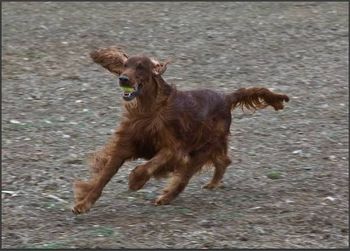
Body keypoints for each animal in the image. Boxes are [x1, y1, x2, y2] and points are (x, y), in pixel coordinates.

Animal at [70, 46, 288, 214]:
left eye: (140, 67)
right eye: (125, 65)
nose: (123, 79)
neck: (149, 109)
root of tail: (226, 97)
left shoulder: (174, 148)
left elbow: (149, 165)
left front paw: (135, 180)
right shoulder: (125, 145)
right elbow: (102, 178)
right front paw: (84, 203)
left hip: (202, 148)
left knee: (188, 176)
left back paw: (166, 197)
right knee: (222, 160)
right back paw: (211, 184)